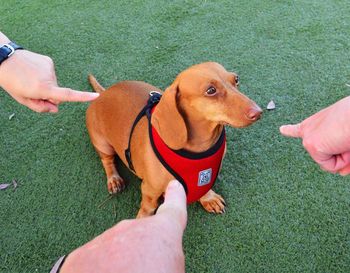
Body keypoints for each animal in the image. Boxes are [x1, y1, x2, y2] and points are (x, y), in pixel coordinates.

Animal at [86, 61, 262, 217]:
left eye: (236, 79)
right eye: (211, 90)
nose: (258, 112)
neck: (201, 147)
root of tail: (104, 92)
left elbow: (204, 188)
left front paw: (209, 198)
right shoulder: (149, 191)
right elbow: (147, 209)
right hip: (102, 144)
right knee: (107, 161)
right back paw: (114, 179)